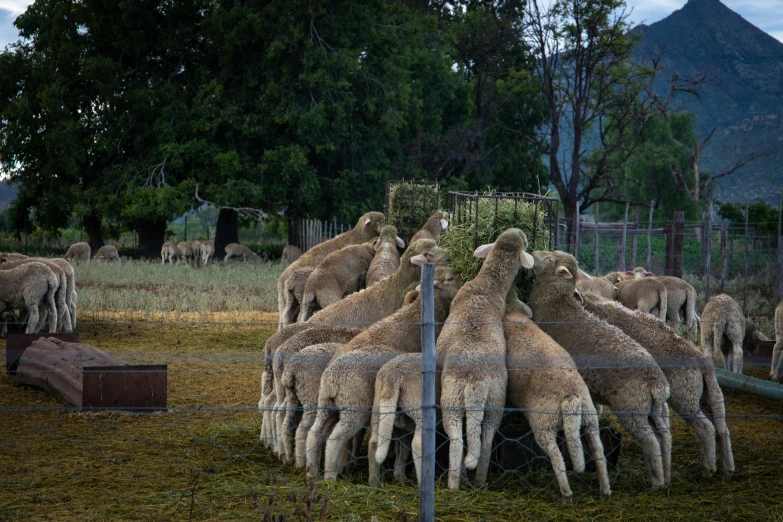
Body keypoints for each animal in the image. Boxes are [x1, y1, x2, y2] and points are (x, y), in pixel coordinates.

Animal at [306, 266, 466, 478]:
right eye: (451, 278)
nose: (464, 284)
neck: (416, 314)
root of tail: (332, 378)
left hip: (327, 405)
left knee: (316, 434)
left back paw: (315, 471)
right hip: (353, 408)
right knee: (337, 438)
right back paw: (332, 475)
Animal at [434, 228, 540, 488]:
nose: (518, 231)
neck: (488, 283)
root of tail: (476, 383)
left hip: (453, 399)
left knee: (457, 439)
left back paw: (454, 483)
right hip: (494, 399)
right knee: (485, 439)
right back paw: (479, 480)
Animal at [532, 250, 672, 490]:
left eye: (550, 259)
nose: (532, 253)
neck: (556, 302)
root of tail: (657, 383)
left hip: (632, 409)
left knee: (651, 441)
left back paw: (657, 483)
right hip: (650, 409)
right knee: (663, 437)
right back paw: (663, 474)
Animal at [584, 290, 740, 478]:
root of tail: (702, 363)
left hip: (685, 400)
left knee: (706, 428)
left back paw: (708, 468)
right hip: (708, 396)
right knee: (722, 429)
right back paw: (727, 468)